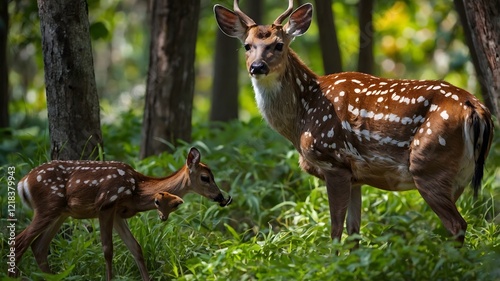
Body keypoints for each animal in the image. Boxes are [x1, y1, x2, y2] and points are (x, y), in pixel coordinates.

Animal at [13, 148, 232, 278]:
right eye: (205, 178)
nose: (222, 197)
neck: (136, 190)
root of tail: (23, 182)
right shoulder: (106, 205)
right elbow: (108, 250)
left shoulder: (118, 214)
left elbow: (136, 248)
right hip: (48, 206)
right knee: (19, 241)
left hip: (61, 213)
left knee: (39, 247)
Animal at [214, 0, 492, 243]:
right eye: (247, 45)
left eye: (279, 44)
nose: (257, 67)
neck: (302, 117)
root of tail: (476, 109)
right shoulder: (355, 176)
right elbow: (354, 233)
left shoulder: (333, 161)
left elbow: (335, 231)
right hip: (459, 175)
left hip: (429, 162)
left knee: (457, 224)